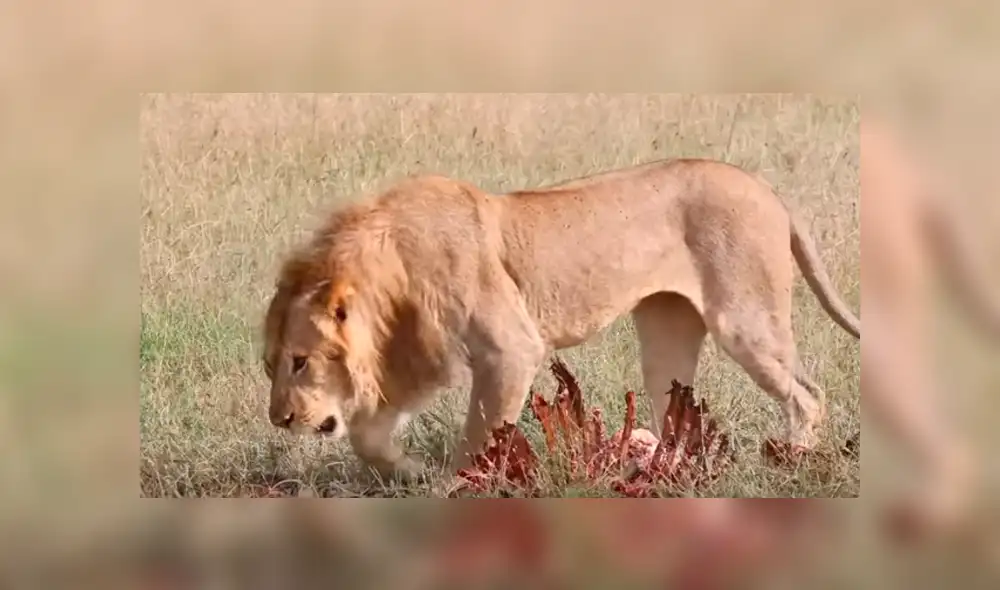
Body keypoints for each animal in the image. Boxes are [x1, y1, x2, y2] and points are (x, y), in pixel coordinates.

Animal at [262, 157, 861, 482]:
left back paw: (794, 460)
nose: (280, 420)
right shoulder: (417, 359)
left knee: (807, 395)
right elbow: (368, 436)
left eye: (300, 362)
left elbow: (478, 437)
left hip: (744, 321)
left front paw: (450, 487)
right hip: (665, 332)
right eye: (270, 366)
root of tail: (765, 188)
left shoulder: (510, 349)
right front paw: (411, 473)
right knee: (677, 415)